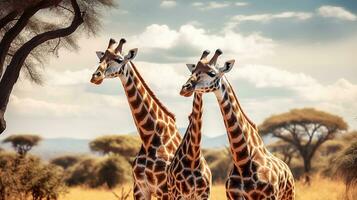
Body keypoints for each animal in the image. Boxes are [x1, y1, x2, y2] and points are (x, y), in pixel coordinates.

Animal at [90, 38, 181, 199]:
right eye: (100, 59)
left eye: (119, 59)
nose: (96, 77)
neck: (149, 138)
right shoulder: (139, 188)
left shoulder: (164, 189)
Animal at [167, 50, 211, 200]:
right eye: (192, 71)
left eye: (205, 73)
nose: (184, 89)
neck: (193, 158)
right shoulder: (179, 194)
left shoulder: (204, 195)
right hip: (170, 194)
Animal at [179, 48, 294, 200]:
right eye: (193, 71)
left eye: (212, 73)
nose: (184, 88)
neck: (242, 162)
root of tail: (287, 168)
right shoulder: (233, 196)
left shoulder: (268, 197)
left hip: (289, 195)